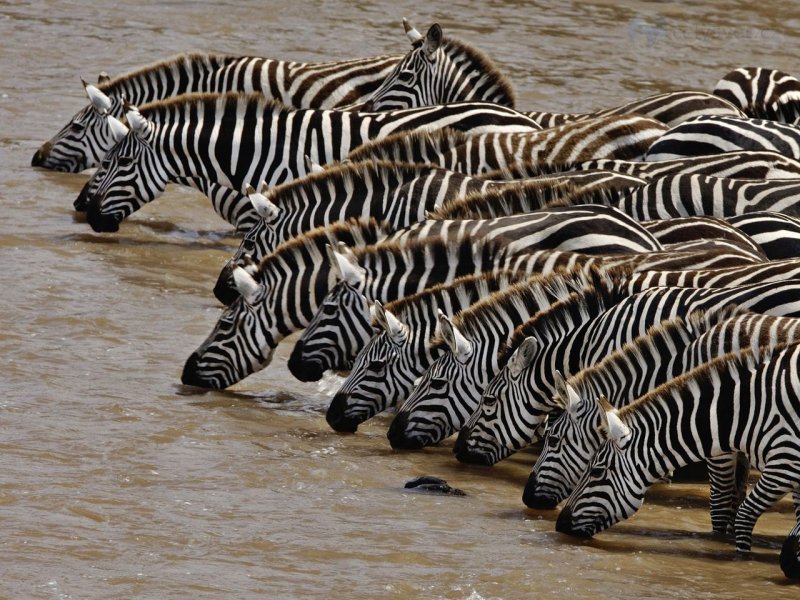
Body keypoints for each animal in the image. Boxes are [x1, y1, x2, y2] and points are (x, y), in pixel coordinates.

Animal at [554, 342, 800, 580]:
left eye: (596, 471)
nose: (559, 524)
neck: (739, 413)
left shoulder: (784, 463)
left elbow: (744, 517)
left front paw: (743, 561)